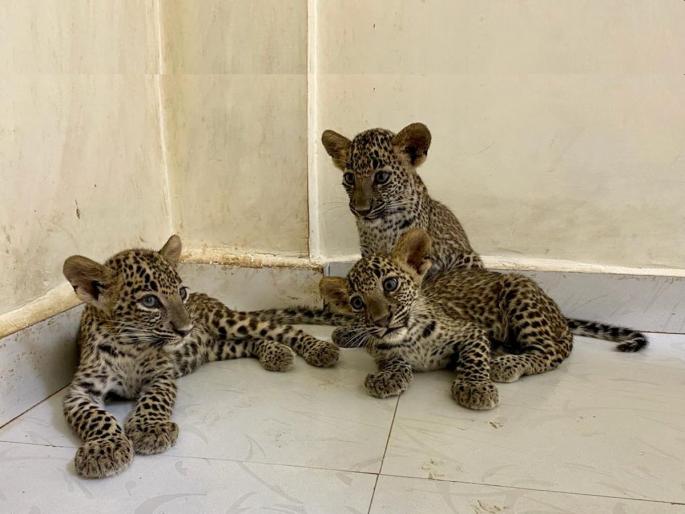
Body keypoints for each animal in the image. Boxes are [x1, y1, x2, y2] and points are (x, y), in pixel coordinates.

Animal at [61, 235, 339, 479]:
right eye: (150, 301)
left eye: (181, 292)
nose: (187, 329)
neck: (129, 348)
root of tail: (212, 300)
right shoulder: (80, 391)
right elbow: (95, 417)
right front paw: (104, 449)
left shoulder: (161, 376)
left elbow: (153, 401)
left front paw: (149, 429)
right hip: (218, 347)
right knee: (249, 341)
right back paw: (276, 353)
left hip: (227, 321)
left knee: (280, 329)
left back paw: (319, 349)